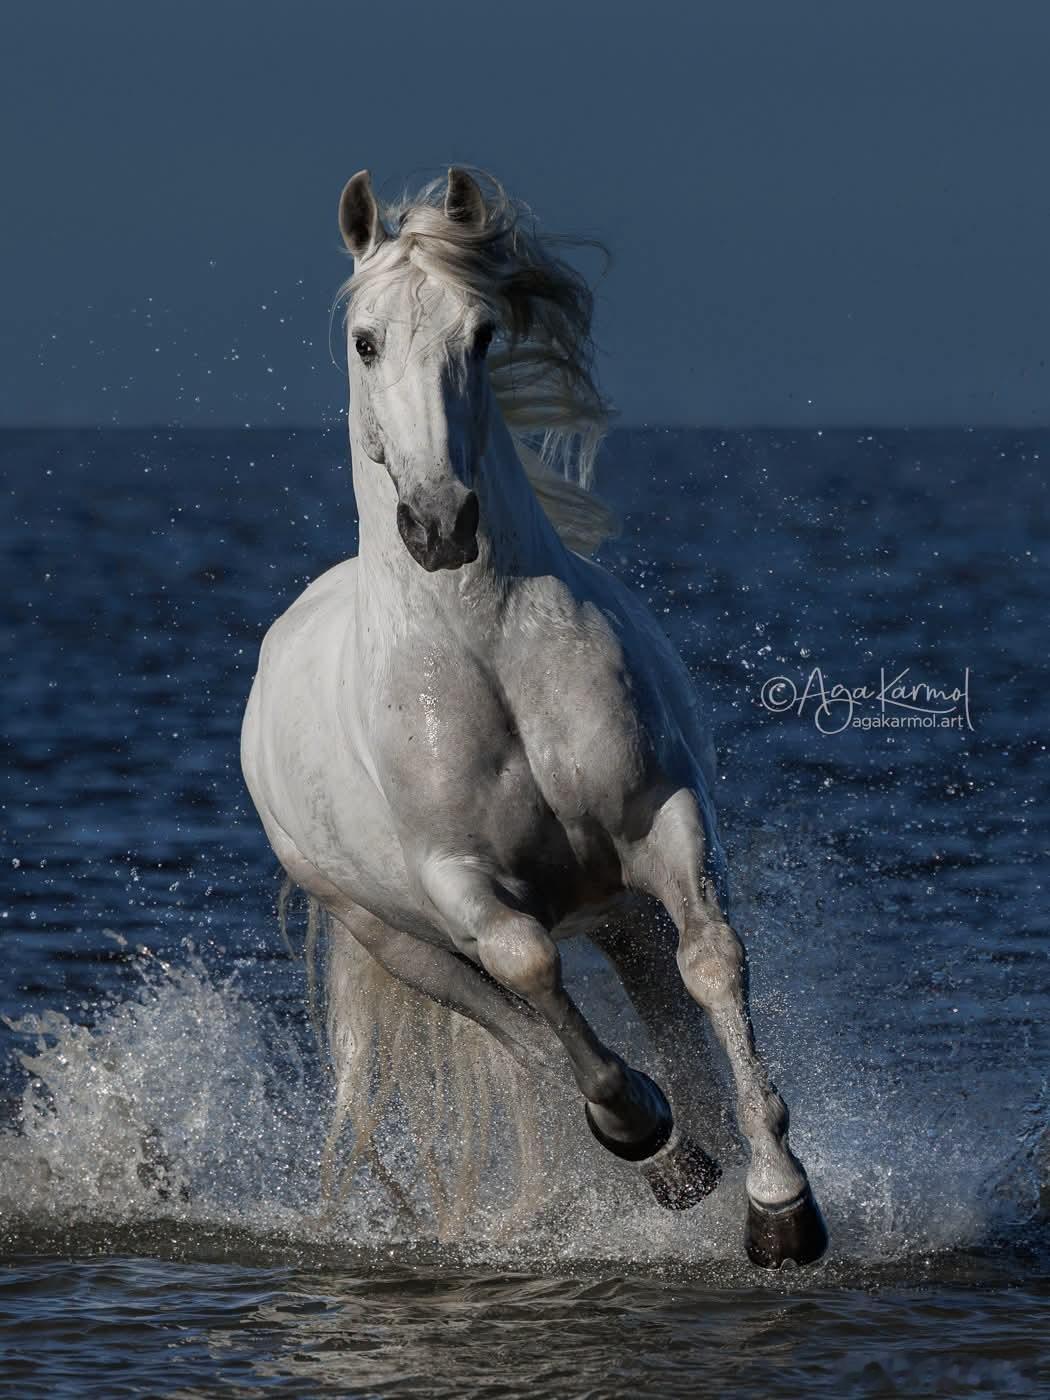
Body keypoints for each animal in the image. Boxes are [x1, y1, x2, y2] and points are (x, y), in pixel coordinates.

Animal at [241, 167, 828, 1268]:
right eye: (366, 341)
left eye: (480, 335)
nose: (438, 523)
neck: (485, 651)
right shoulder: (459, 878)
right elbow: (529, 970)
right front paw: (646, 1132)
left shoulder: (662, 822)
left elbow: (713, 961)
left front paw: (780, 1204)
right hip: (392, 932)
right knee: (512, 1022)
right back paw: (656, 1145)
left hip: (613, 905)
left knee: (653, 999)